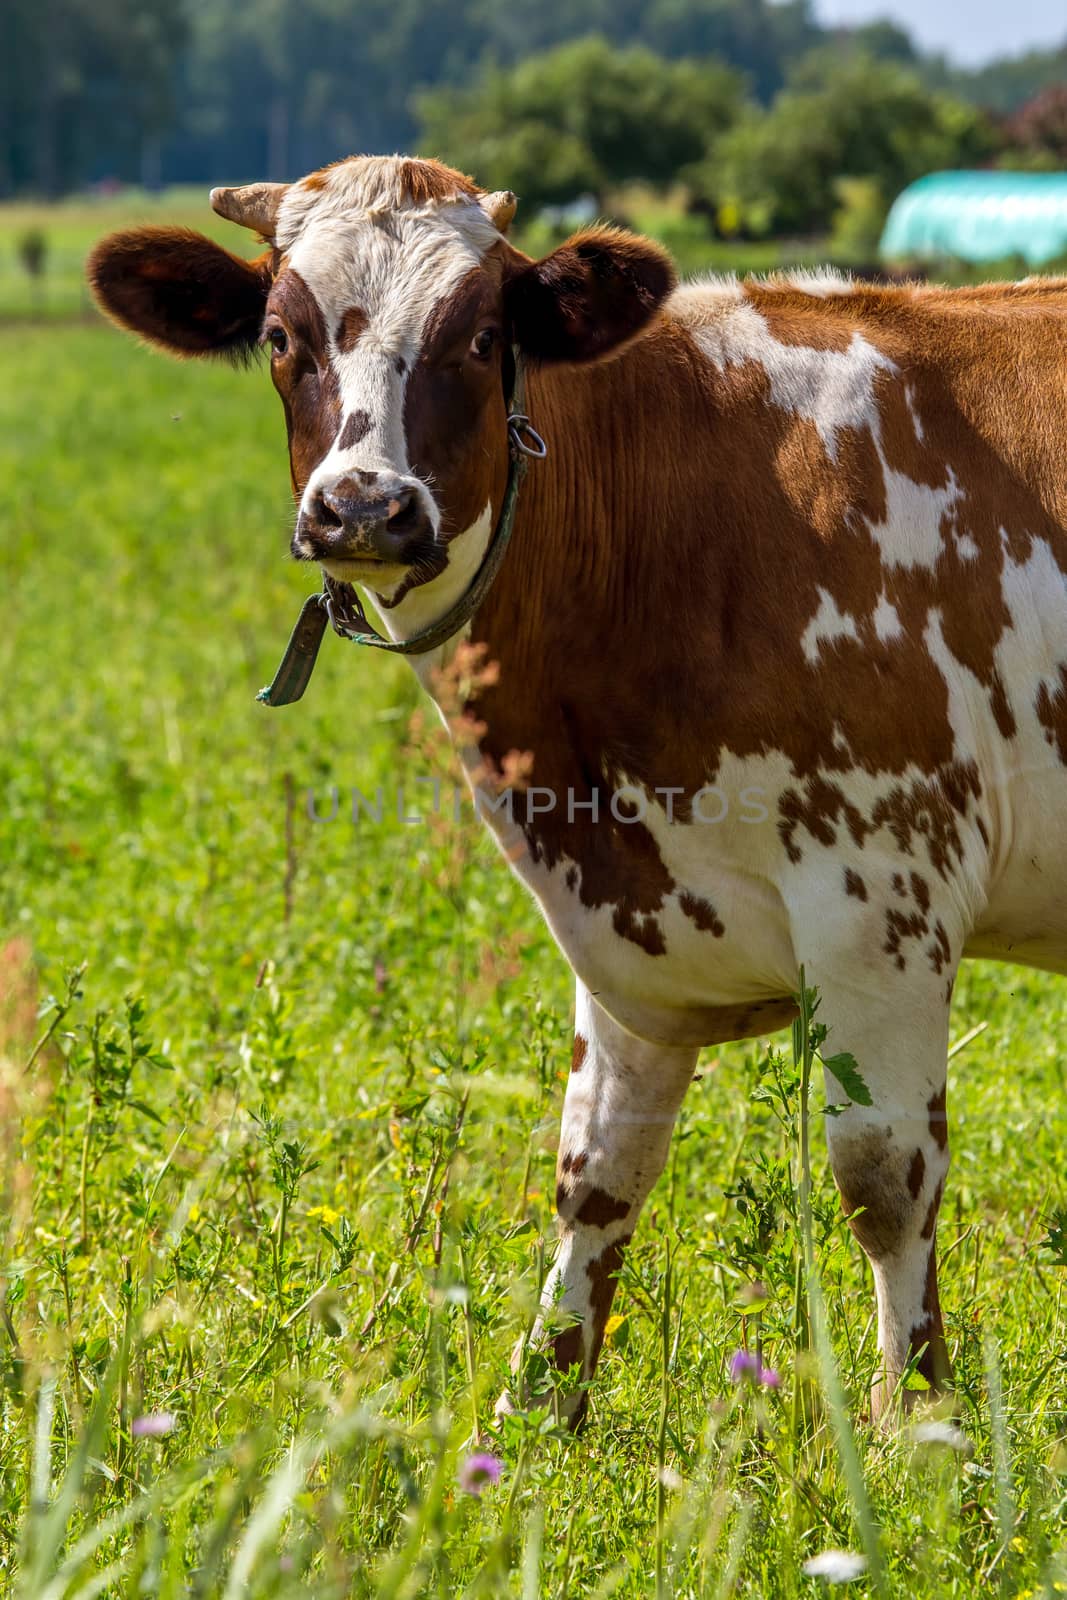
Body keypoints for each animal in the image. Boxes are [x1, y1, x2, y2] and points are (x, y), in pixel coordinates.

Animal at [89, 152, 1067, 1427]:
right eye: (279, 335)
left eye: (477, 334)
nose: (363, 506)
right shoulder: (622, 924)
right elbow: (595, 1172)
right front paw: (535, 1416)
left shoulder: (882, 898)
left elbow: (881, 1179)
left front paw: (914, 1431)